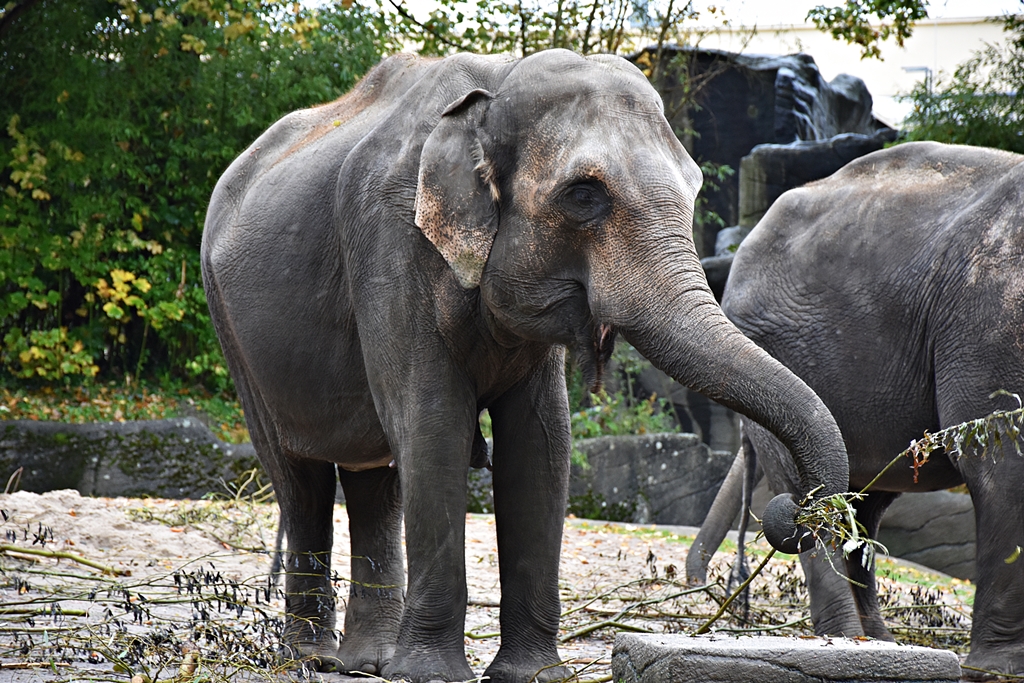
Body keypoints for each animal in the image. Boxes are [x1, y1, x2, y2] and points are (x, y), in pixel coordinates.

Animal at [200, 49, 849, 683]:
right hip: (231, 328)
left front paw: (533, 674)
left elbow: (541, 441)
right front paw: (434, 676)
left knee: (374, 476)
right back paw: (312, 660)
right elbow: (434, 424)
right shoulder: (389, 244)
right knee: (299, 477)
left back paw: (369, 665)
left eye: (694, 189)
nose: (796, 513)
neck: (495, 84)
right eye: (585, 195)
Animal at [685, 141, 1024, 679]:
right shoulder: (990, 327)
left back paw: (880, 643)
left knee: (861, 505)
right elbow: (1001, 463)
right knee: (817, 494)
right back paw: (849, 638)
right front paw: (1000, 668)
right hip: (781, 347)